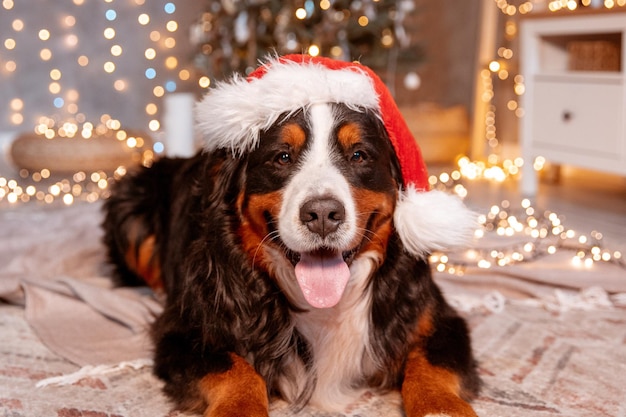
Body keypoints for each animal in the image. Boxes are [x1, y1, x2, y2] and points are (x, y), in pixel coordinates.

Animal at [103, 53, 478, 414]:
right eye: (282, 157)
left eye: (359, 155)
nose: (323, 214)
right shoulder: (186, 331)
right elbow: (236, 370)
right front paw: (239, 408)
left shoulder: (438, 320)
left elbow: (431, 366)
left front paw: (442, 407)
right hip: (129, 208)